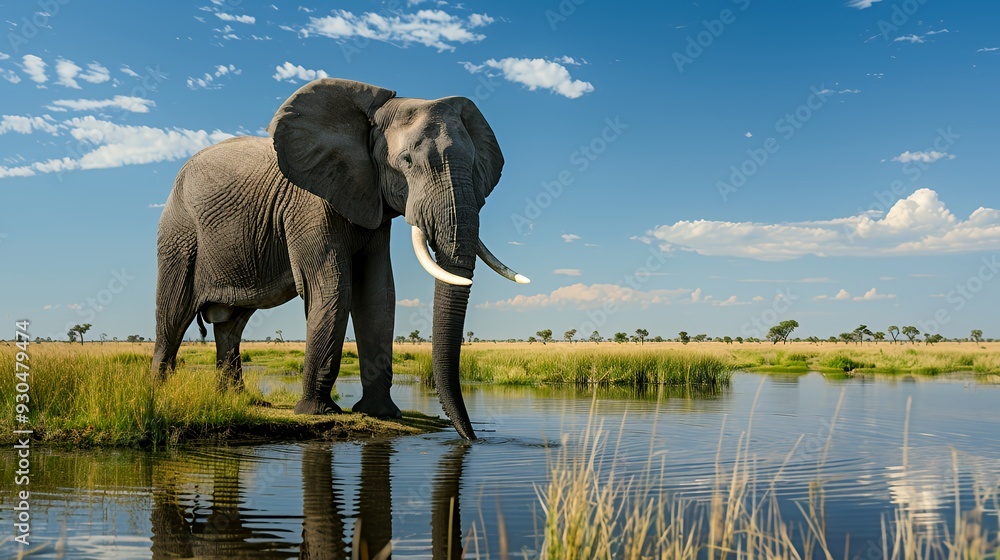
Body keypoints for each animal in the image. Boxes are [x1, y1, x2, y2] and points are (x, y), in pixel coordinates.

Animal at [151, 78, 528, 440]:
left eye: (476, 164)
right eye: (406, 161)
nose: (471, 438)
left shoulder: (372, 199)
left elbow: (377, 293)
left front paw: (380, 413)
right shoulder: (310, 203)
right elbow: (332, 287)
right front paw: (316, 413)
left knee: (231, 326)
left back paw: (238, 400)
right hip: (179, 232)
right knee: (173, 314)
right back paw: (156, 394)